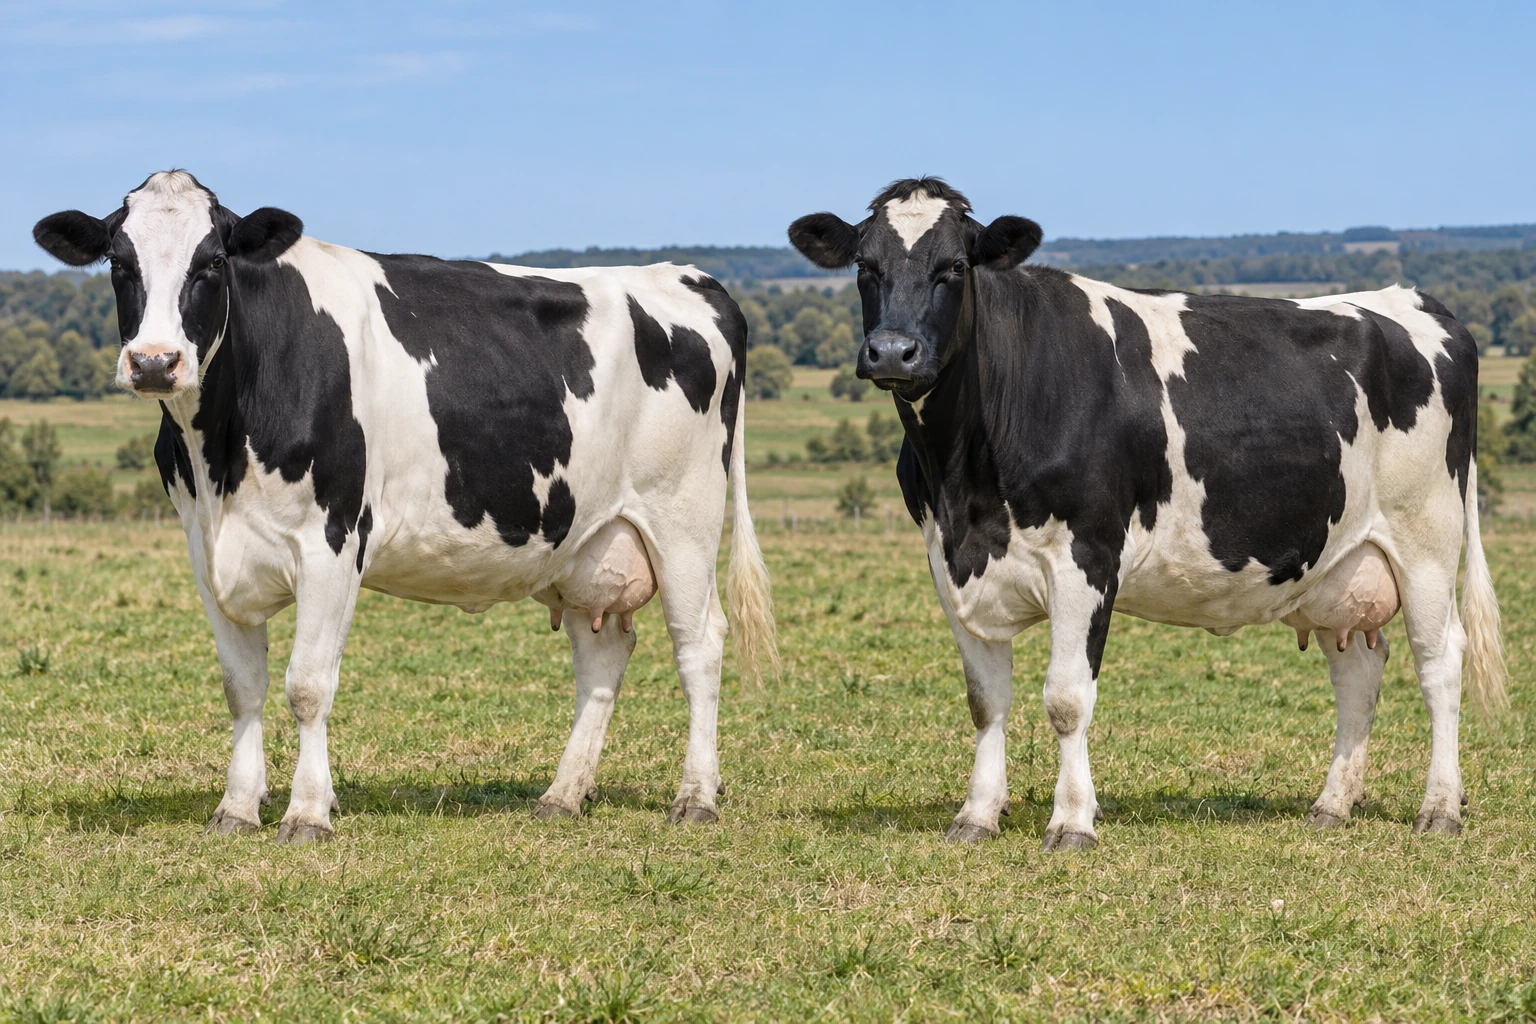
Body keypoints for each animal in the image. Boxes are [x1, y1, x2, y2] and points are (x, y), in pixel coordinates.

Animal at [34, 170, 777, 843]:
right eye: (119, 263)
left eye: (213, 262)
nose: (155, 363)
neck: (219, 451)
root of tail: (688, 276)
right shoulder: (206, 546)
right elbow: (242, 686)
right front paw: (238, 808)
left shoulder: (333, 539)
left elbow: (307, 685)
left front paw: (307, 813)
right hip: (585, 537)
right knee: (604, 652)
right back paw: (563, 795)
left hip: (682, 517)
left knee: (700, 643)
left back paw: (695, 797)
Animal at [789, 177, 1506, 849]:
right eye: (865, 266)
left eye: (955, 267)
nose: (892, 351)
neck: (967, 482)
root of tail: (1416, 301)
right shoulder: (951, 563)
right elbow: (985, 702)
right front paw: (977, 814)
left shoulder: (1085, 557)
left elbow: (1066, 699)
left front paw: (1072, 821)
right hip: (1338, 561)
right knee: (1357, 670)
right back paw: (1331, 805)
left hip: (1425, 540)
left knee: (1440, 661)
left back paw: (1440, 807)